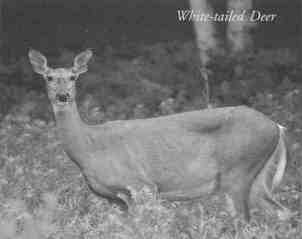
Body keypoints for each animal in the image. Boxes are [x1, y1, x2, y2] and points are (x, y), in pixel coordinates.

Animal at [28, 49, 292, 222]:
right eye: (49, 77)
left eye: (73, 77)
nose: (63, 96)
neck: (88, 147)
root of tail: (276, 127)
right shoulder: (115, 199)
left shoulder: (141, 184)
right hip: (257, 177)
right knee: (282, 211)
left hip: (238, 170)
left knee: (245, 220)